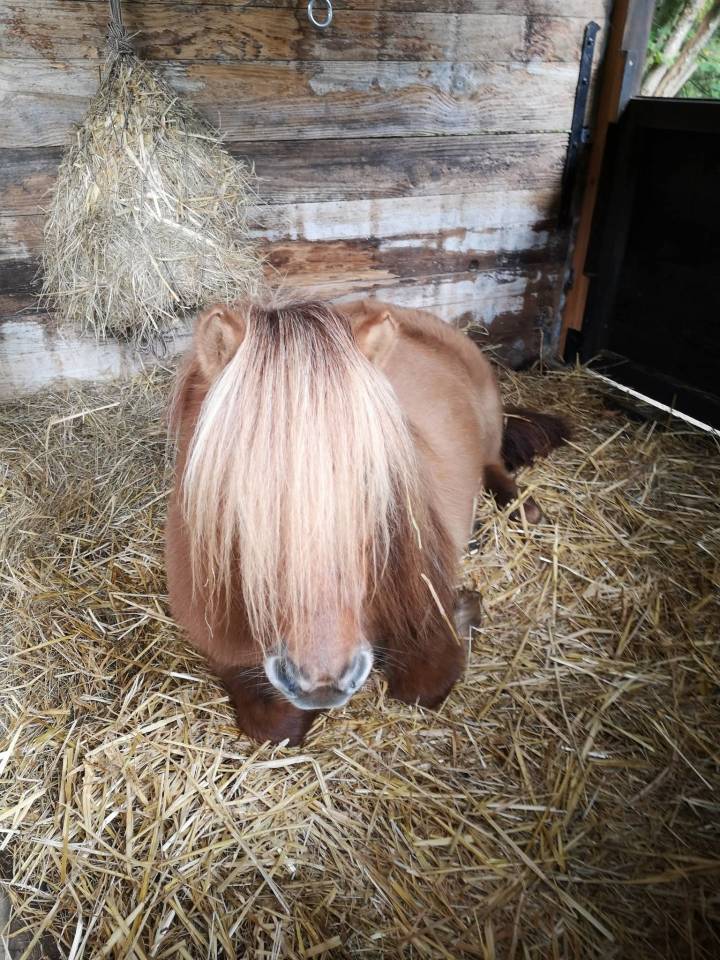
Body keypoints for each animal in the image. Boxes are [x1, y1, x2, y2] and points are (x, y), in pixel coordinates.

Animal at [165, 297, 568, 745]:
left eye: (370, 478)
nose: (322, 682)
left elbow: (421, 683)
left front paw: (465, 610)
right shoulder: (222, 649)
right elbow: (274, 725)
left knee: (493, 463)